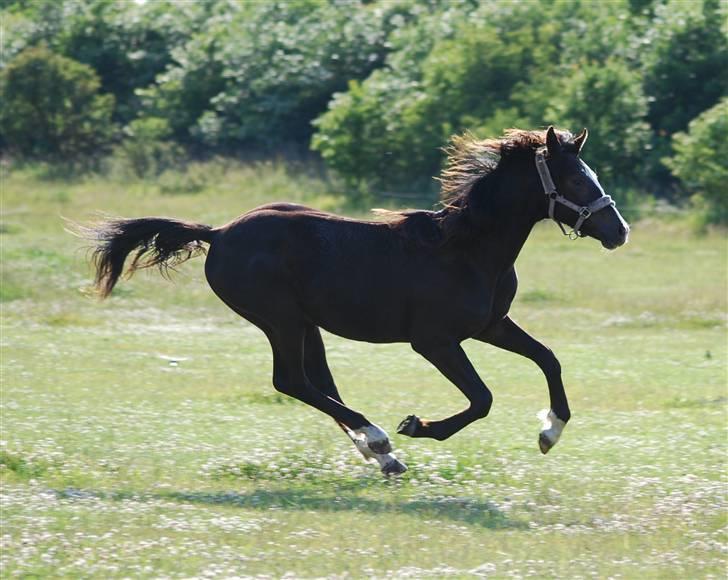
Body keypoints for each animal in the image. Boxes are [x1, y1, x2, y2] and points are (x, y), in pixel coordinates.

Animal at [78, 127, 624, 476]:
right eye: (577, 180)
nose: (618, 231)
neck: (466, 249)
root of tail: (219, 233)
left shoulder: (490, 325)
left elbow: (548, 358)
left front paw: (550, 432)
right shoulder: (435, 341)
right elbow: (483, 398)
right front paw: (416, 425)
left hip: (305, 323)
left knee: (317, 382)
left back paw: (380, 454)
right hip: (279, 318)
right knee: (292, 380)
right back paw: (380, 438)